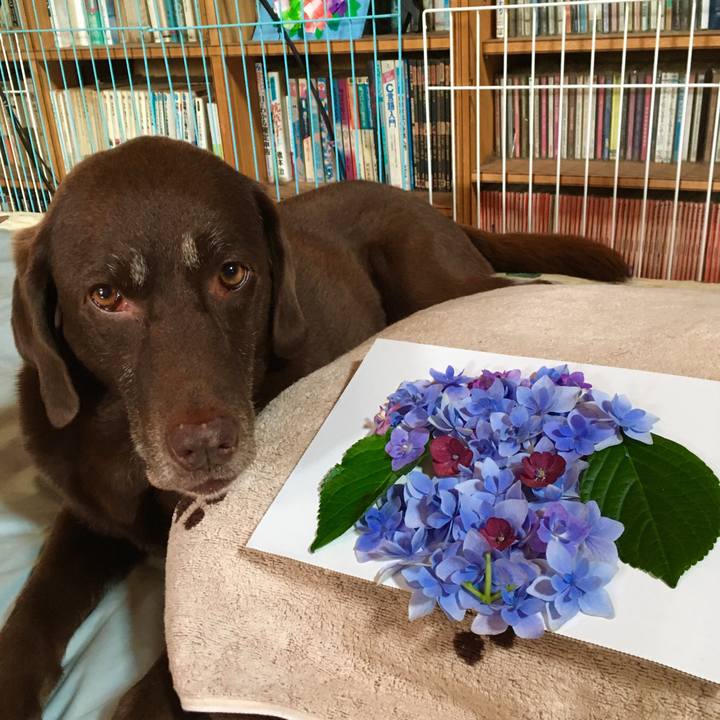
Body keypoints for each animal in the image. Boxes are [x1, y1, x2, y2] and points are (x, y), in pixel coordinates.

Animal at [0, 136, 628, 719]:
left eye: (232, 274)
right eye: (106, 296)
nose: (206, 446)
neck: (122, 442)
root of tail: (423, 203)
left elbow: (168, 673)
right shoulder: (87, 520)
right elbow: (31, 611)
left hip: (440, 286)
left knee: (524, 291)